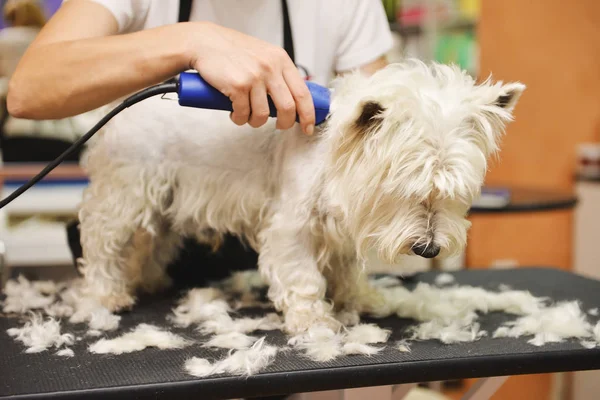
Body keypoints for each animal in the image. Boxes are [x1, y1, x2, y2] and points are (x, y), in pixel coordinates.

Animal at [76, 59, 524, 334]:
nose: (428, 249)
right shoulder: (291, 226)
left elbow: (347, 271)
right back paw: (107, 295)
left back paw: (151, 280)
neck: (335, 152)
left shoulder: (342, 228)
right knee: (101, 241)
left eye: (454, 191)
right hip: (126, 191)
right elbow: (303, 276)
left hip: (166, 202)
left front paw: (362, 299)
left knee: (153, 243)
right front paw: (314, 321)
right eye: (404, 188)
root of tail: (126, 104)